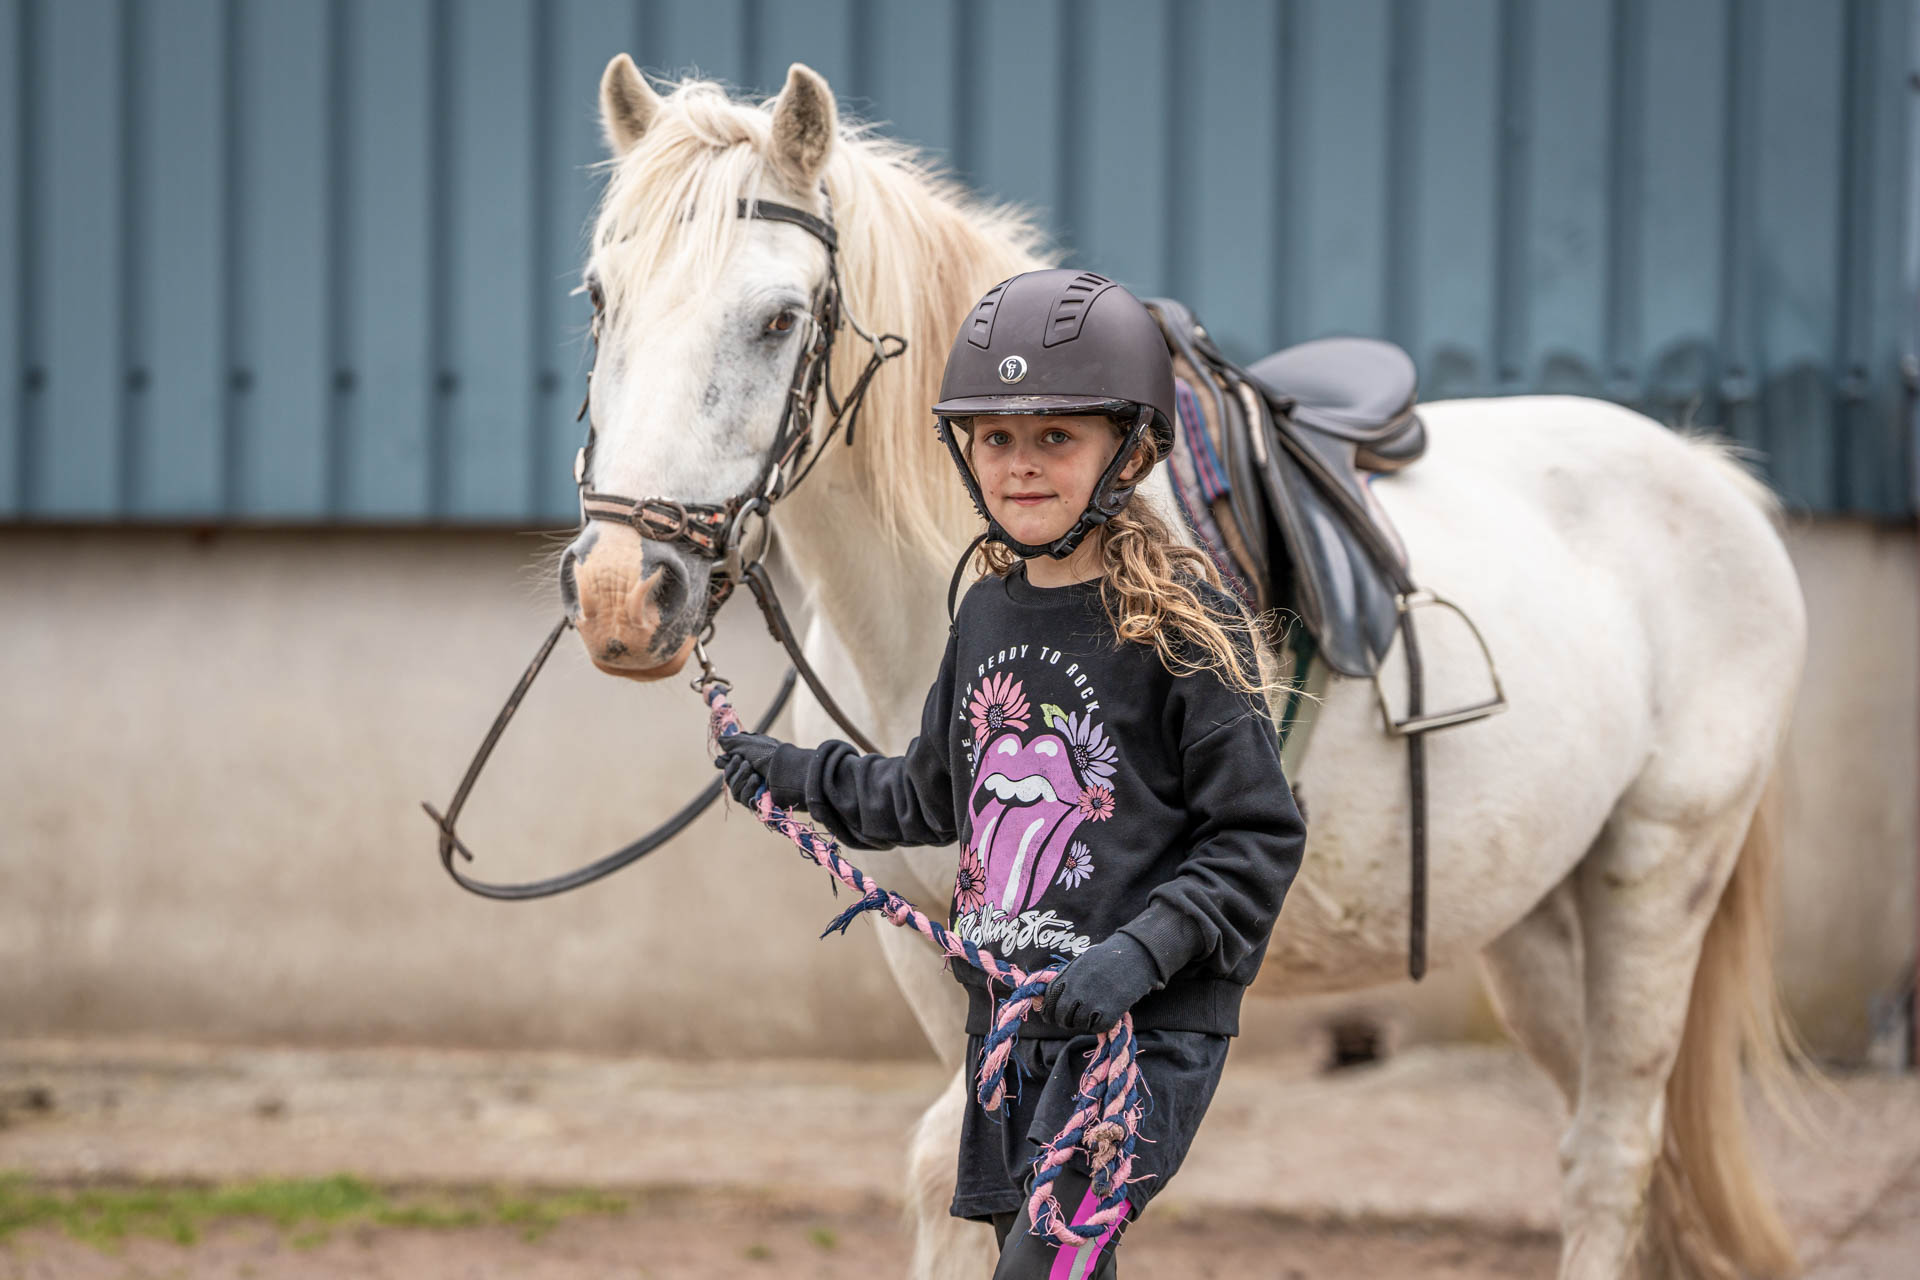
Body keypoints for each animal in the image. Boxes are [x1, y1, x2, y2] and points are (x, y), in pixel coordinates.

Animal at [558, 54, 1812, 1280]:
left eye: (777, 319)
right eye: (600, 300)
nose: (621, 595)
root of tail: (1715, 480)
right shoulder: (937, 947)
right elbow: (952, 1176)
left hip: (1656, 877)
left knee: (1614, 1151)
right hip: (1539, 913)